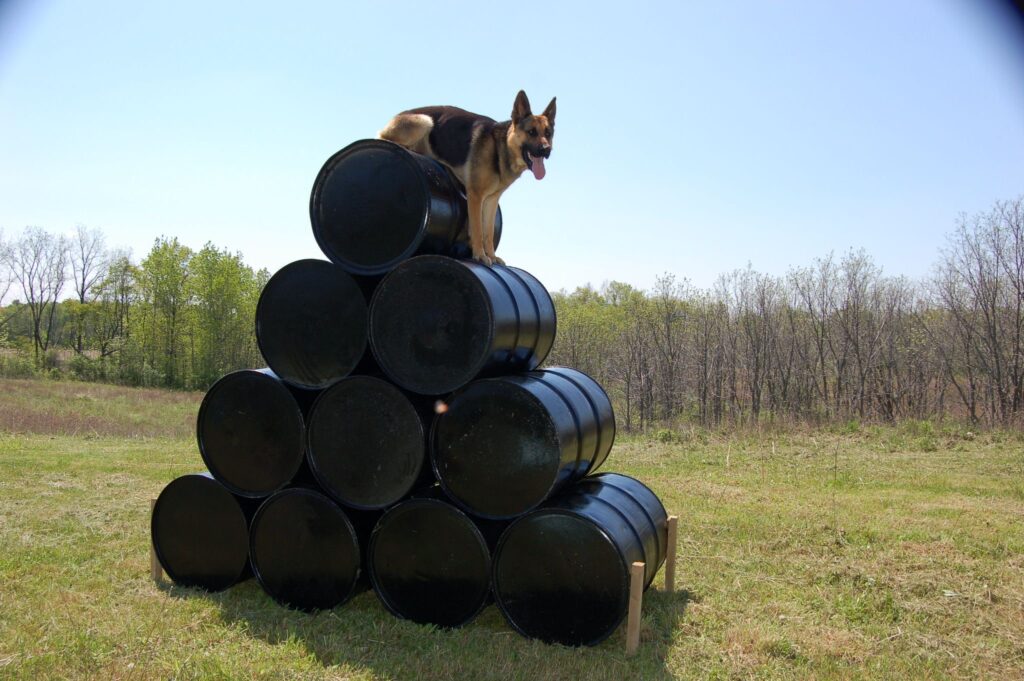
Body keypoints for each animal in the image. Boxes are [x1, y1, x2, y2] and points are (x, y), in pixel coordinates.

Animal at [380, 91, 557, 266]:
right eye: (531, 132)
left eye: (548, 134)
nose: (546, 149)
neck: (500, 149)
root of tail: (395, 117)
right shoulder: (475, 196)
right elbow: (478, 230)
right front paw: (479, 255)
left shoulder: (491, 200)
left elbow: (488, 232)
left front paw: (492, 256)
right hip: (425, 121)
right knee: (385, 139)